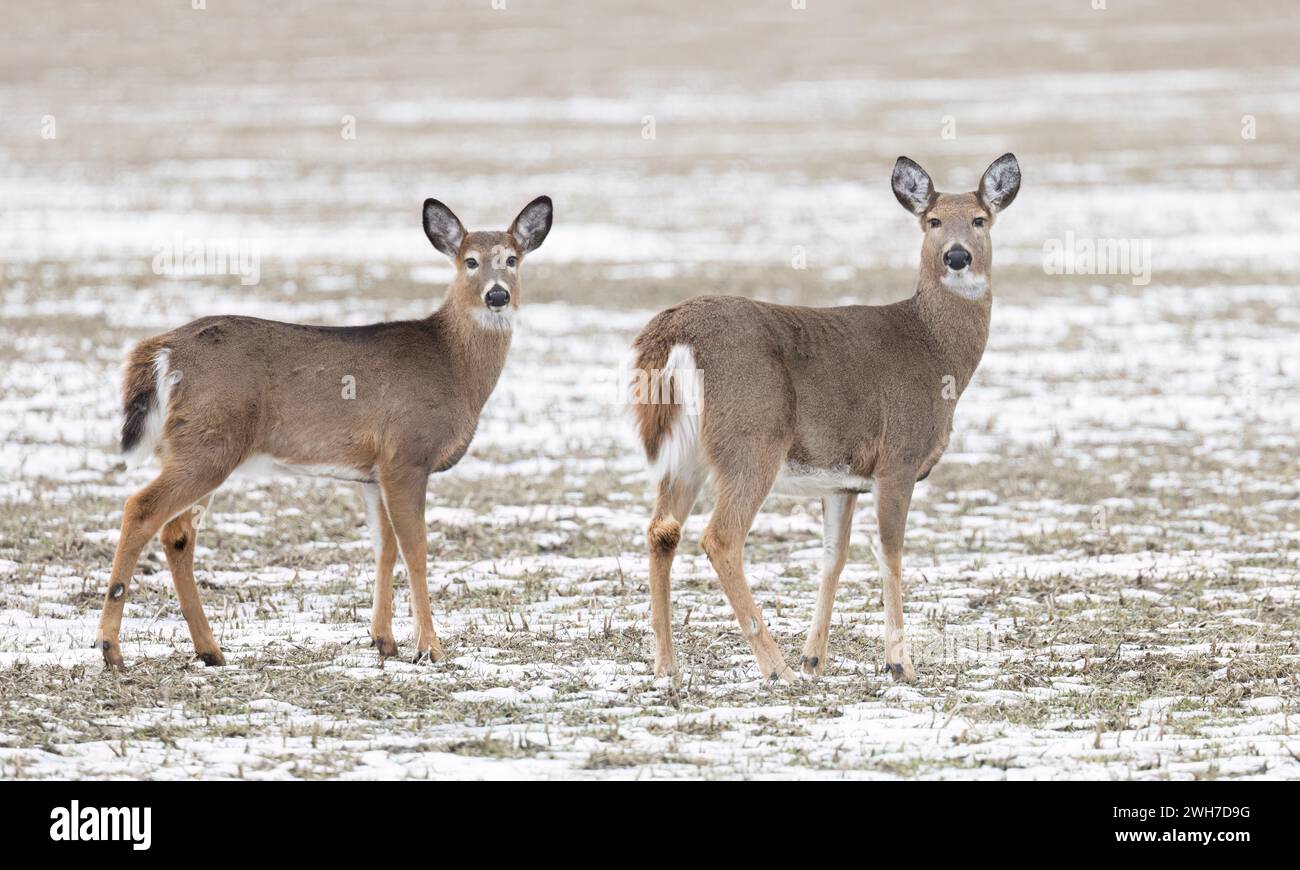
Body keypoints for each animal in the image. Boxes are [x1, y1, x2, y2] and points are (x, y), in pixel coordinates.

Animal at [94, 196, 553, 668]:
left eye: (512, 259)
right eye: (470, 261)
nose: (496, 295)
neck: (453, 365)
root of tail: (162, 351)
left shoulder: (374, 471)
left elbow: (384, 547)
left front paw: (383, 640)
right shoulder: (407, 453)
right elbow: (417, 550)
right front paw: (429, 647)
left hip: (193, 445)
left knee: (178, 533)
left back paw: (210, 650)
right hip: (209, 442)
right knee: (141, 508)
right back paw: (111, 647)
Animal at [630, 154, 1019, 683]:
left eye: (980, 220)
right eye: (934, 221)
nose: (956, 257)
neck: (934, 349)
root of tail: (674, 332)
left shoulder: (843, 479)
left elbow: (833, 556)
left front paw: (814, 658)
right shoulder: (897, 459)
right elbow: (890, 554)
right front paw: (899, 663)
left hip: (686, 453)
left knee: (662, 531)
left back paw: (667, 667)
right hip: (753, 436)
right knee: (720, 537)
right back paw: (775, 668)